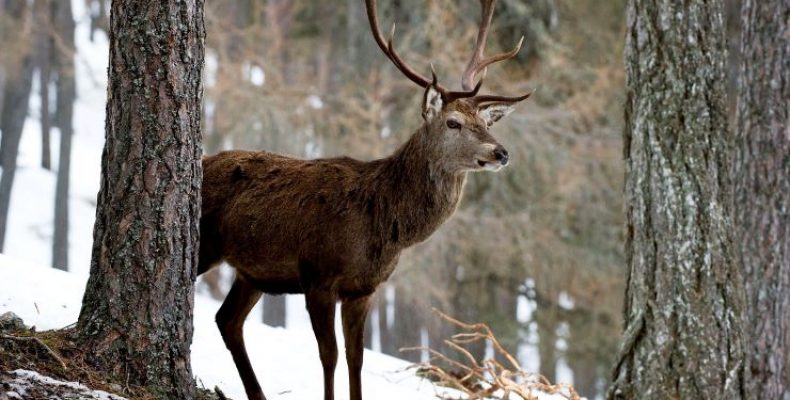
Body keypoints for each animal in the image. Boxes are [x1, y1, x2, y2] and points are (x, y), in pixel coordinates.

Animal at [196, 1, 532, 398]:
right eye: (453, 122)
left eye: (486, 123)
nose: (501, 153)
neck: (380, 225)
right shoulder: (318, 277)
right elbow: (329, 356)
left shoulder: (363, 289)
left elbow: (356, 359)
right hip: (206, 246)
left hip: (253, 272)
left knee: (228, 319)